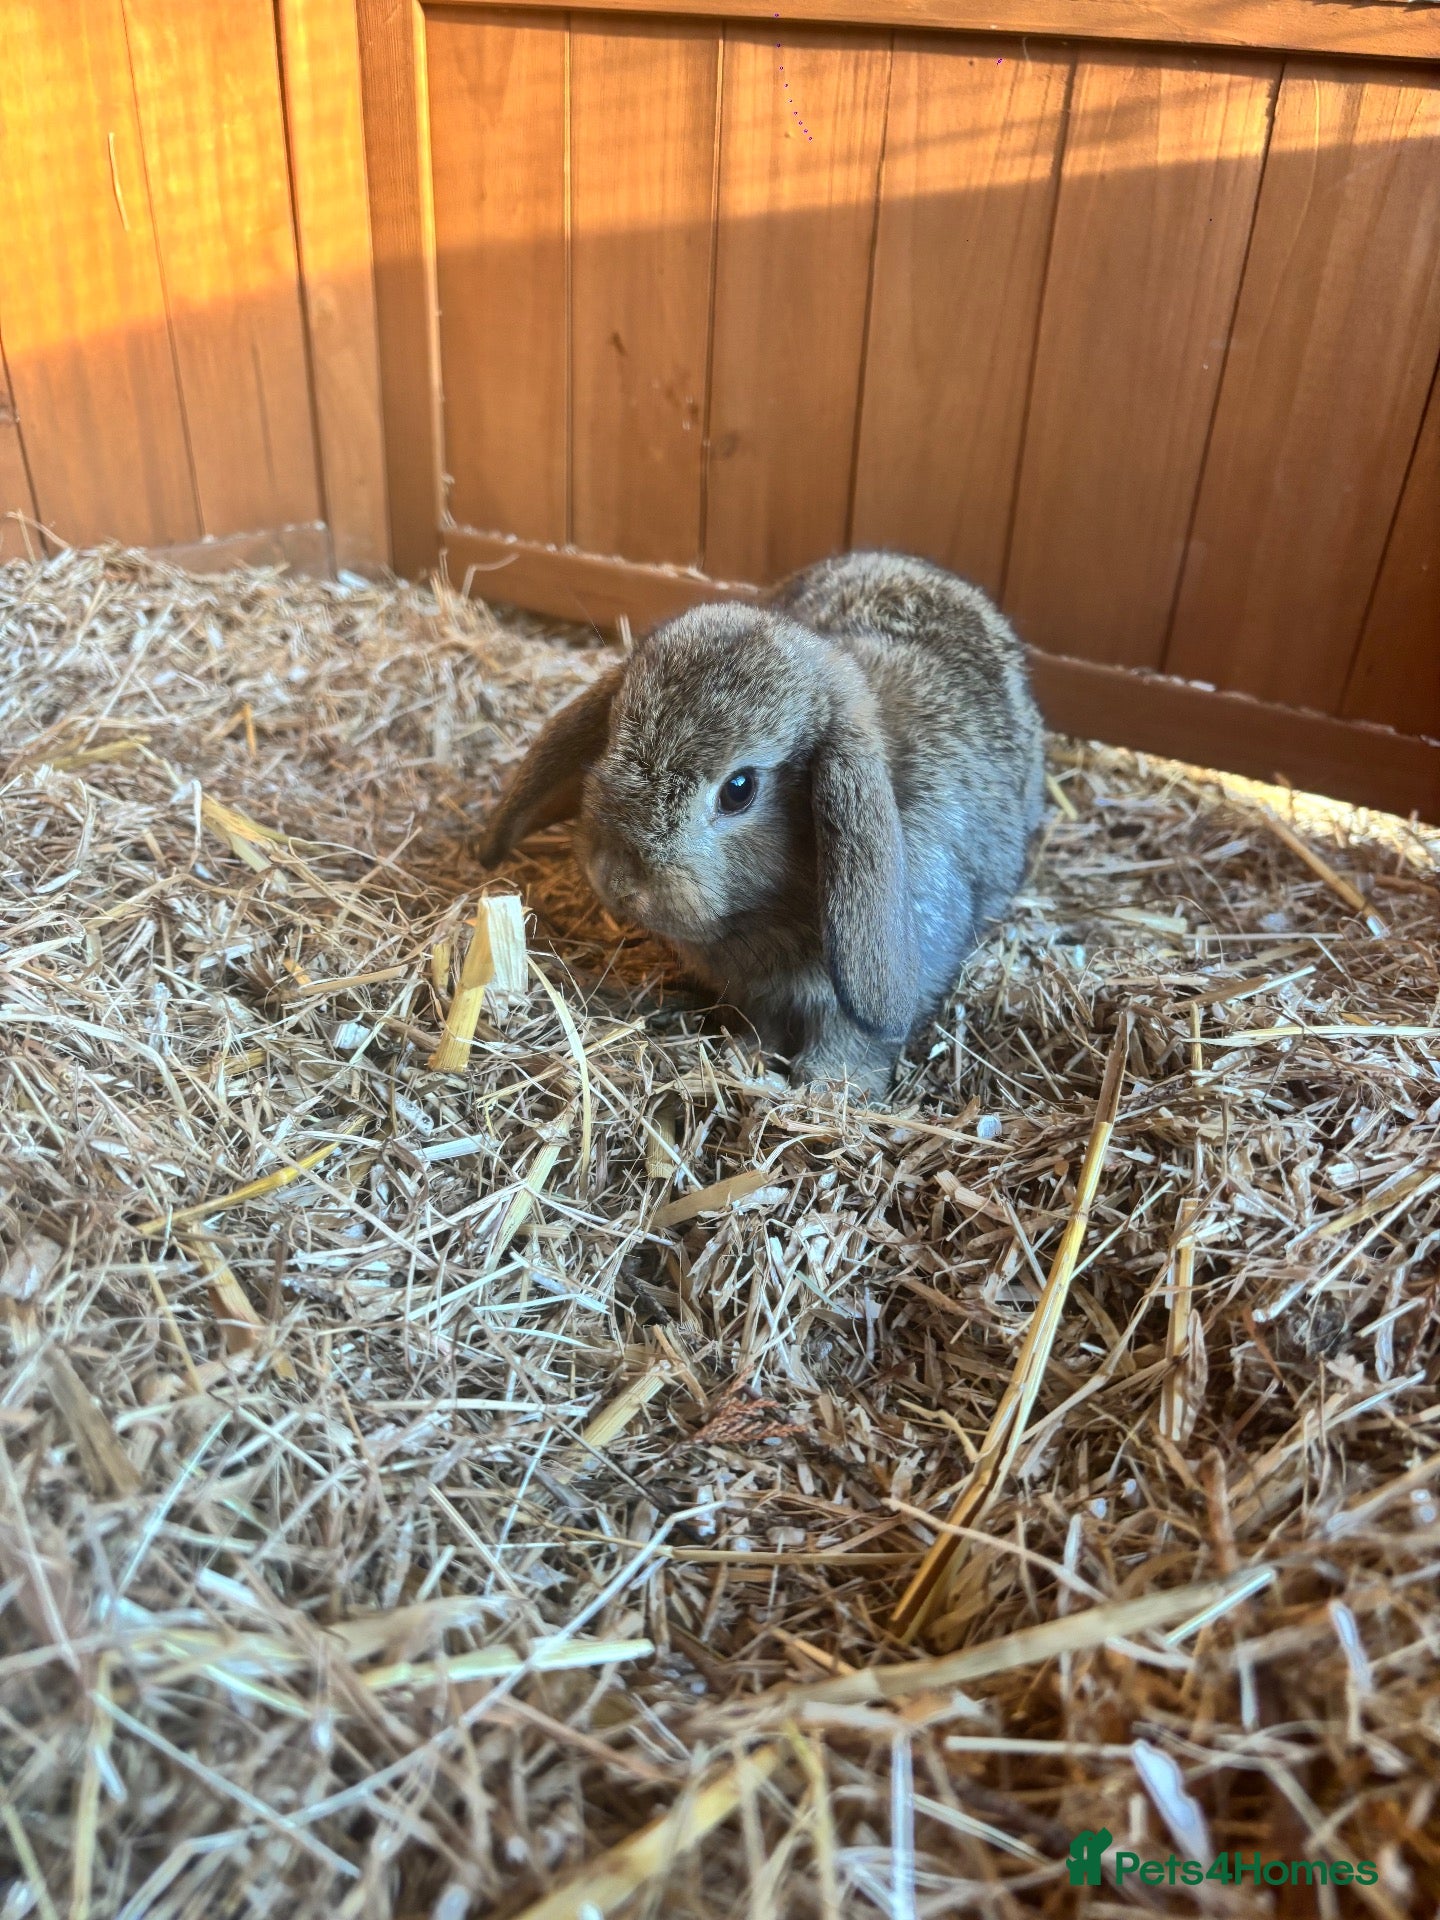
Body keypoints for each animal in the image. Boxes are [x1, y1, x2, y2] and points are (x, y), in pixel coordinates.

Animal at [477, 551, 1045, 1098]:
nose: (615, 880)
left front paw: (829, 1088)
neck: (770, 911)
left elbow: (851, 1038)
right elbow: (763, 1025)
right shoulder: (758, 996)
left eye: (739, 788)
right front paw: (747, 1056)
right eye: (610, 739)